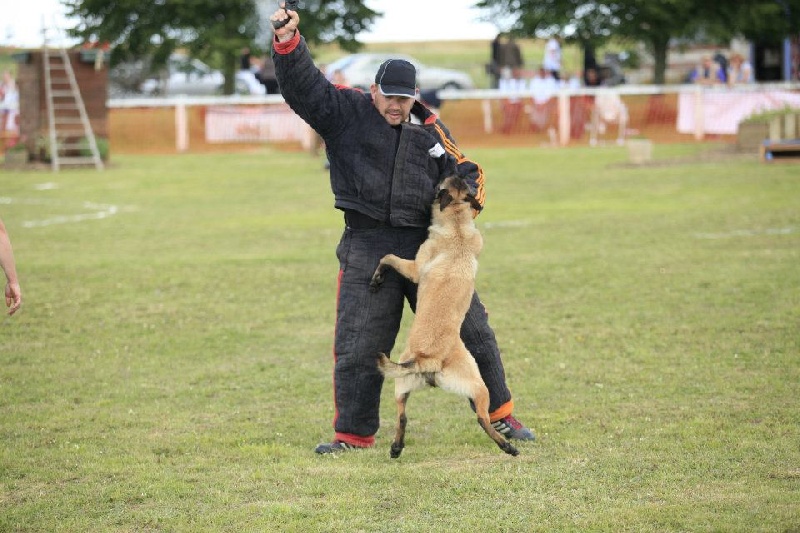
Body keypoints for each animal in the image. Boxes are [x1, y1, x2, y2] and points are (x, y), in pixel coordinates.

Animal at [370, 176, 520, 458]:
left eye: (441, 184)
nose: (457, 173)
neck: (458, 222)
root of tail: (428, 359)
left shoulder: (414, 268)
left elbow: (387, 256)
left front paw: (377, 277)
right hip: (412, 385)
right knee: (404, 416)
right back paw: (396, 447)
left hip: (474, 384)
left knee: (481, 418)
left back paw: (508, 447)